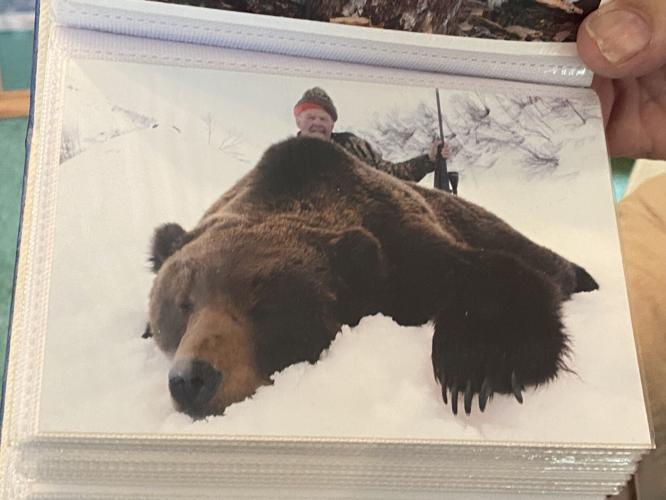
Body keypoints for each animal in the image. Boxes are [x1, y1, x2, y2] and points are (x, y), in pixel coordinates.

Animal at [145, 136, 598, 419]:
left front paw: (473, 370)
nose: (192, 378)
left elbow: (498, 279)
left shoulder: (408, 252)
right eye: (182, 304)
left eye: (265, 305)